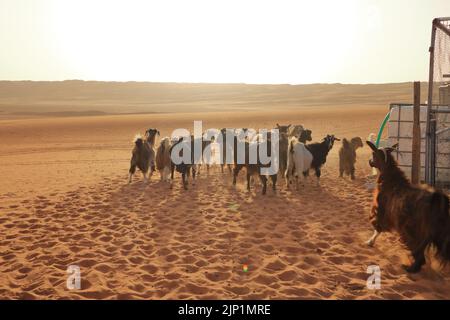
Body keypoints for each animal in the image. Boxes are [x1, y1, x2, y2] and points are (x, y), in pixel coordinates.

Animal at [366, 141, 450, 274]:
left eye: (373, 154)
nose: (369, 161)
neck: (391, 180)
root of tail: (437, 201)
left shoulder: (380, 210)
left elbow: (377, 226)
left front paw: (370, 241)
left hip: (414, 233)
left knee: (419, 255)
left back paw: (410, 268)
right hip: (439, 234)